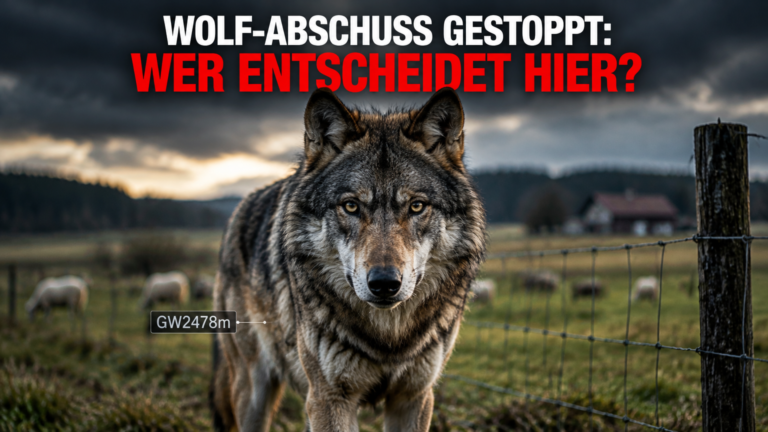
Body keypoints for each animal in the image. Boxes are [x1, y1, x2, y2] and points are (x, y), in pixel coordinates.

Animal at [211, 87, 486, 432]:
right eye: (351, 206)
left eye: (417, 206)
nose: (385, 283)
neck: (388, 337)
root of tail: (238, 212)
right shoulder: (330, 399)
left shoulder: (414, 397)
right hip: (254, 392)